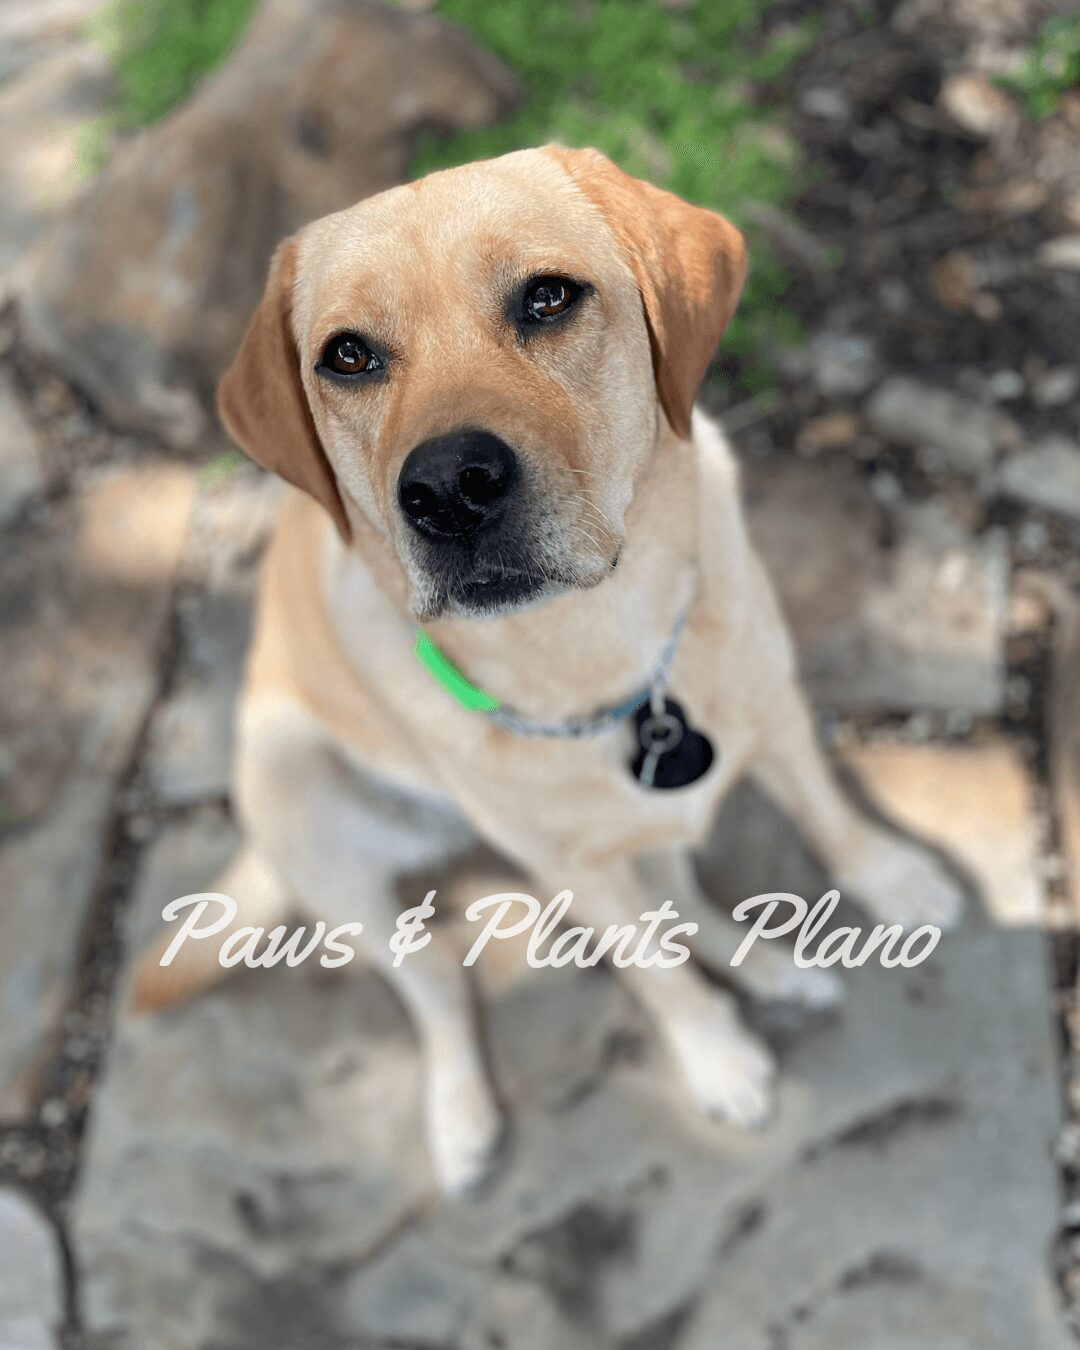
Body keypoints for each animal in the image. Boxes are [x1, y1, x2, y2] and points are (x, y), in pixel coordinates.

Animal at [132, 147, 964, 1193]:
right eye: (348, 356)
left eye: (548, 298)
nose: (447, 490)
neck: (593, 642)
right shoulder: (570, 865)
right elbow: (650, 969)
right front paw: (716, 1061)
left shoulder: (772, 705)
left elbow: (826, 814)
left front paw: (894, 880)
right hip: (302, 802)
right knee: (438, 982)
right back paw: (462, 1121)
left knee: (679, 895)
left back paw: (770, 967)